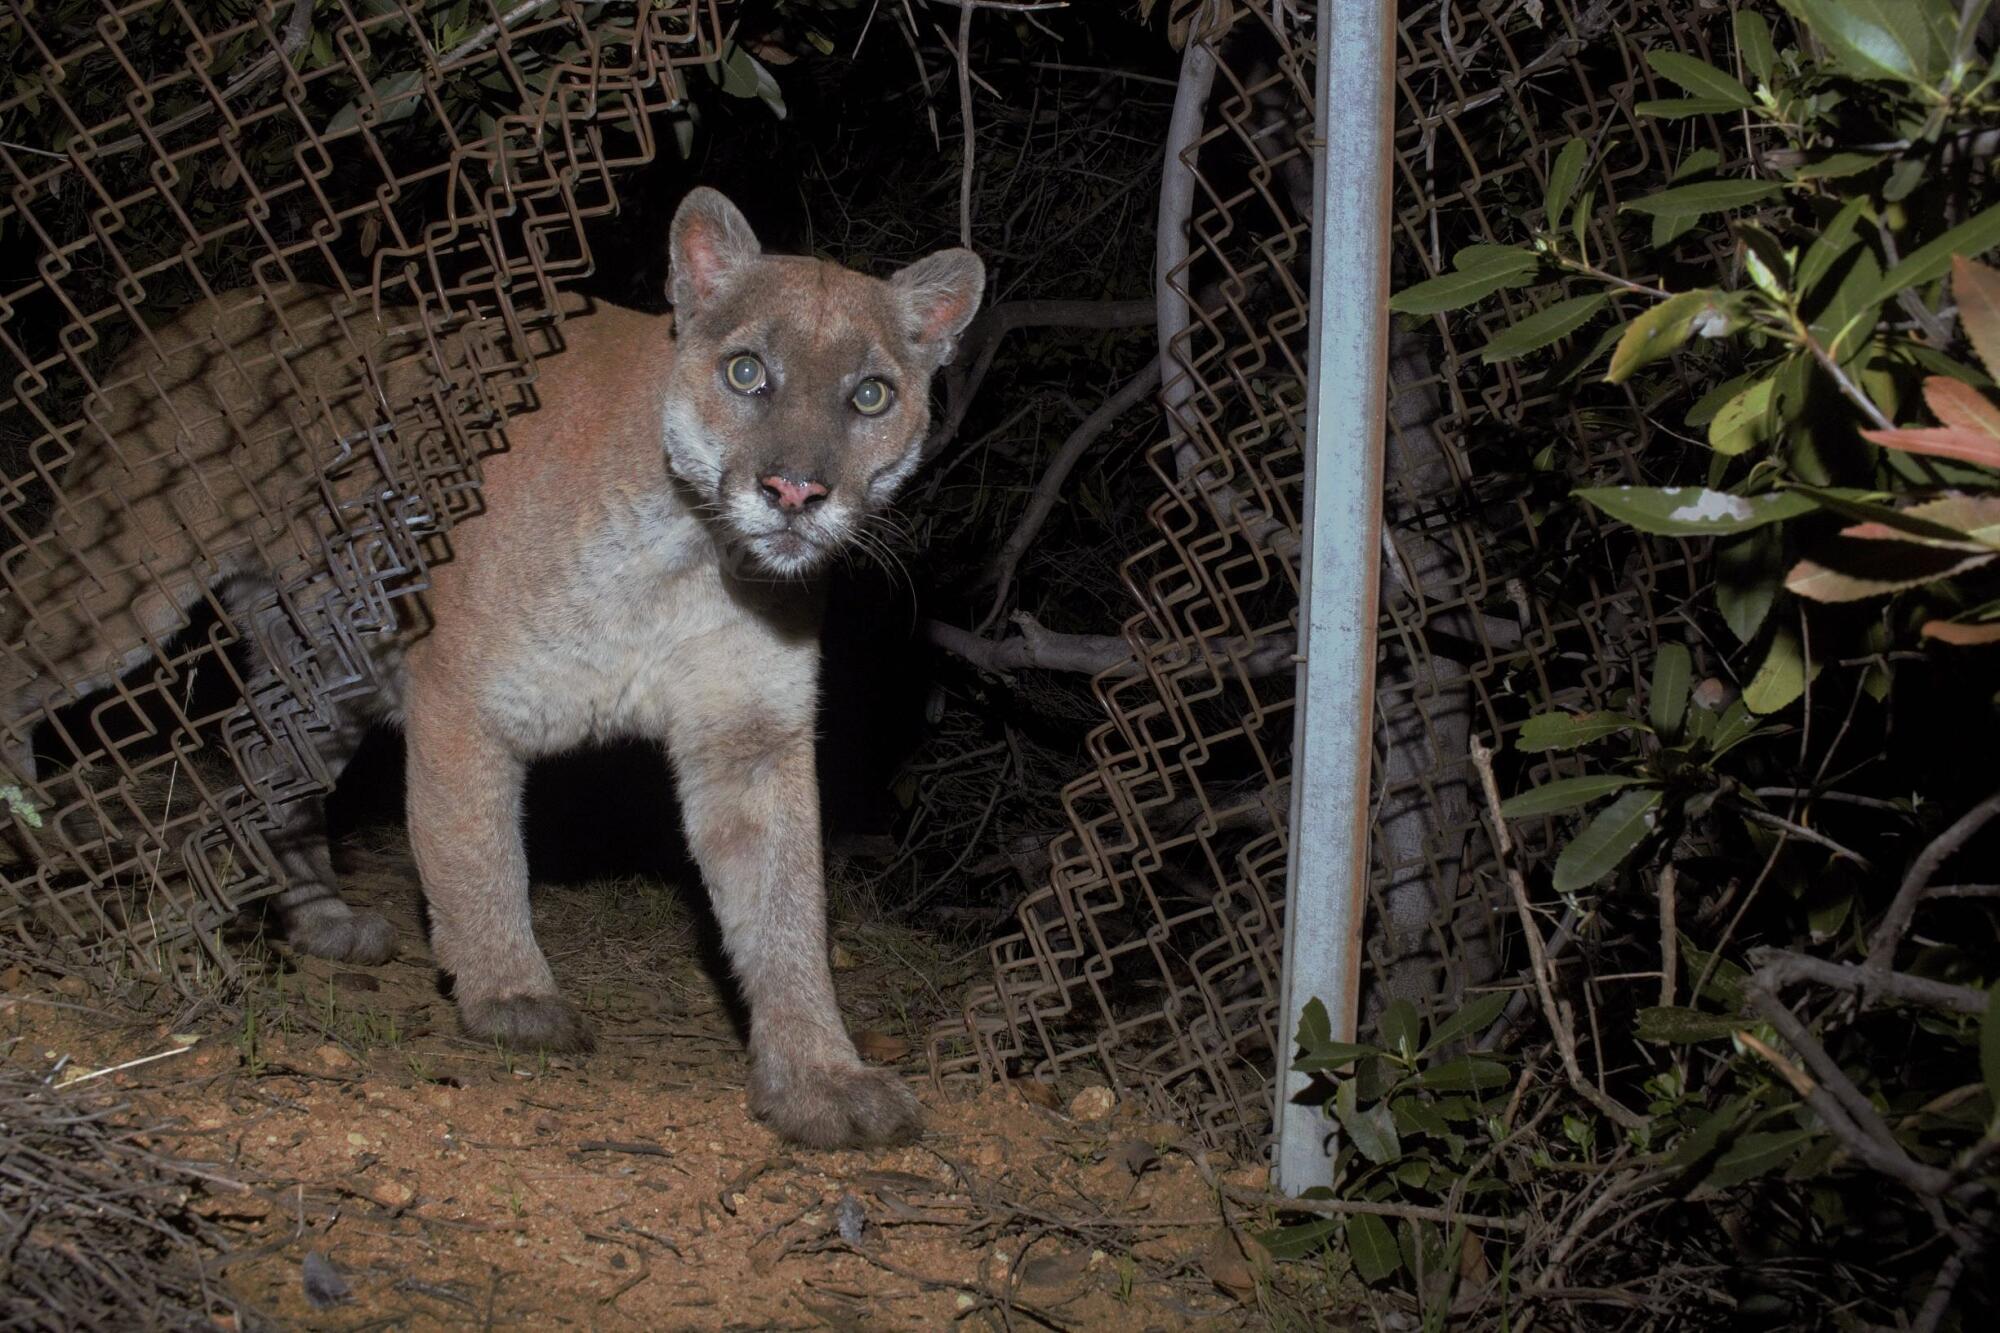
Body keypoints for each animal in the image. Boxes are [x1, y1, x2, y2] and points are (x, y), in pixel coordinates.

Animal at [0, 192, 984, 1144]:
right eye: (747, 372)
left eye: (870, 394)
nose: (794, 492)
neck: (690, 556)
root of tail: (212, 303)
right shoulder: (461, 696)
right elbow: (477, 854)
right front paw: (510, 993)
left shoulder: (748, 735)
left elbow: (785, 909)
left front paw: (821, 1077)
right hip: (126, 572)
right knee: (24, 647)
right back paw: (32, 837)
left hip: (328, 654)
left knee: (259, 739)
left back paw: (317, 916)